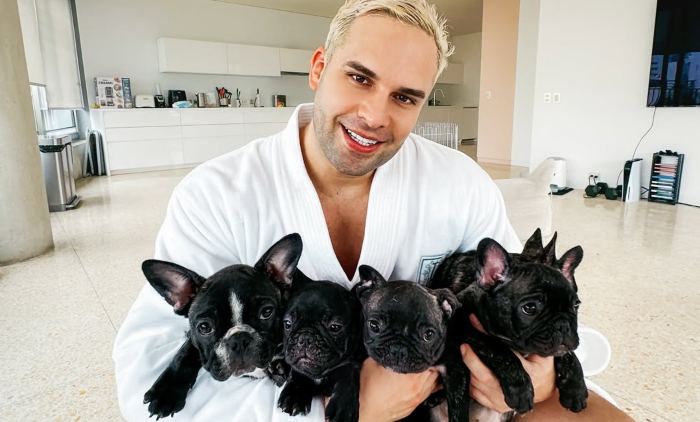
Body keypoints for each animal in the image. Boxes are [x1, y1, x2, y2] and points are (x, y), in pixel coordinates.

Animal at [141, 233, 302, 419]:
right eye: (204, 327)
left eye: (267, 312)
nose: (239, 340)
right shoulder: (193, 337)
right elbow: (184, 353)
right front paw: (166, 391)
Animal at [277, 271, 364, 422]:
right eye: (287, 323)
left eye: (335, 327)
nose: (305, 338)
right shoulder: (299, 366)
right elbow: (298, 372)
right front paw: (294, 395)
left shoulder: (351, 360)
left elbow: (348, 376)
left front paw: (343, 408)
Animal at [430, 229, 588, 420]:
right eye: (529, 308)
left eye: (576, 305)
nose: (563, 325)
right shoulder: (459, 323)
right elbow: (498, 349)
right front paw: (520, 389)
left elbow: (569, 354)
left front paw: (576, 388)